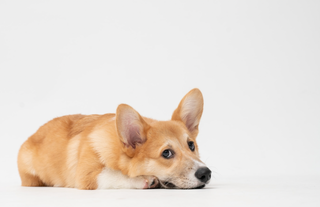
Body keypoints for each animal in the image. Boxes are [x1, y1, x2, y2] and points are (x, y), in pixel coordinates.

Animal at [18, 88, 212, 189]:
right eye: (166, 153)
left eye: (191, 145)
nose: (206, 173)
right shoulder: (87, 176)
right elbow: (114, 174)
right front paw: (144, 179)